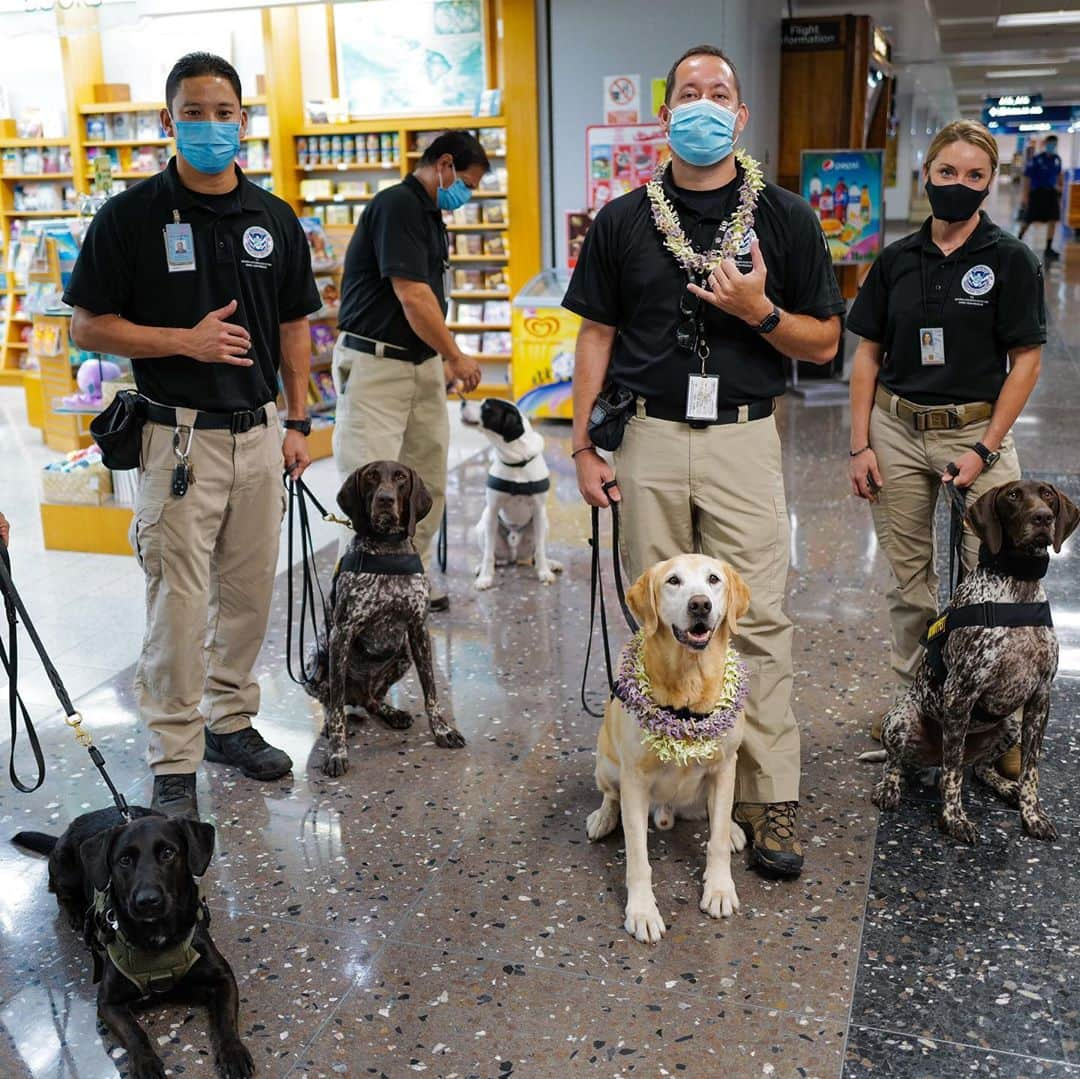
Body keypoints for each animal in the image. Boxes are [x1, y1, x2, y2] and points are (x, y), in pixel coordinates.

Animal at [477, 399, 570, 591]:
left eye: (488, 408)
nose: (463, 404)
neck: (516, 461)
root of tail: (514, 556)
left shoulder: (539, 511)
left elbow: (540, 551)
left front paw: (544, 572)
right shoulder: (492, 510)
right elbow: (488, 554)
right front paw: (485, 577)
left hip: (543, 525)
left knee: (536, 553)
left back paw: (550, 564)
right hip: (482, 526)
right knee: (492, 554)